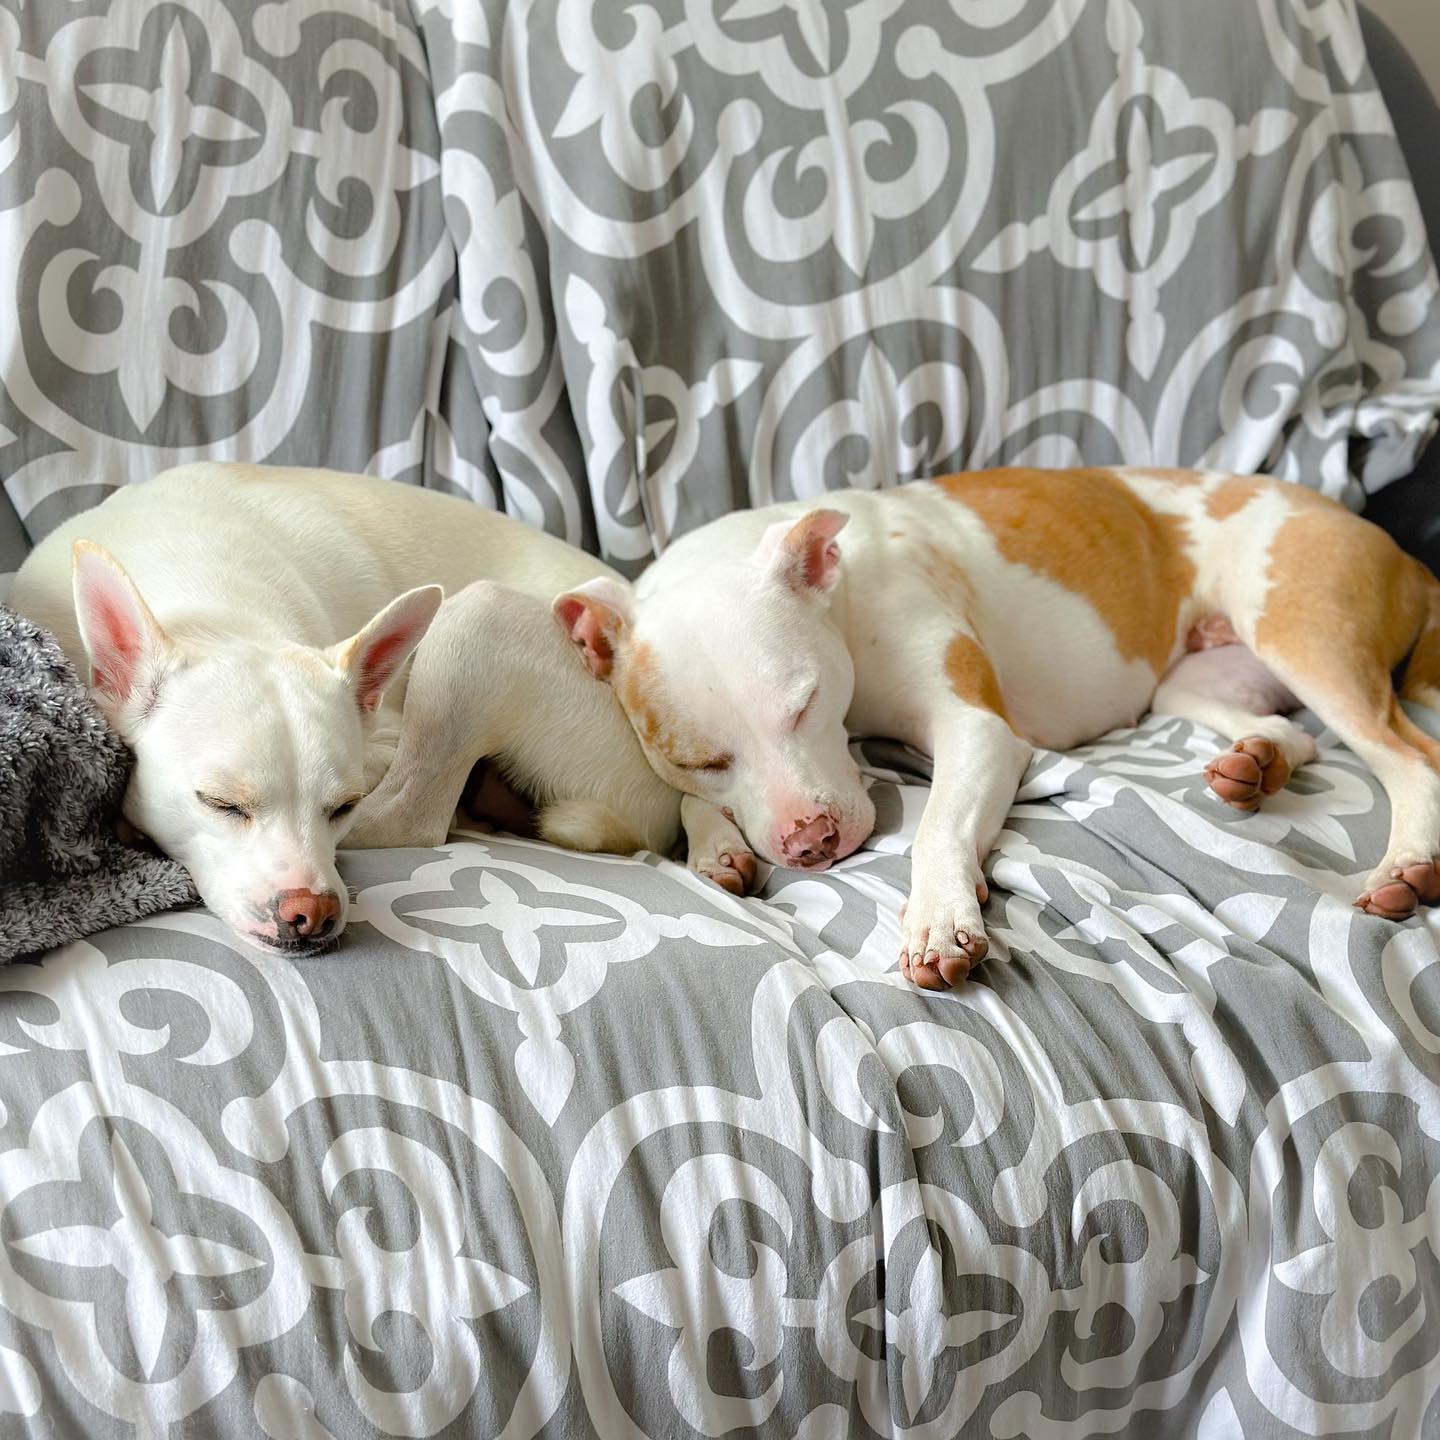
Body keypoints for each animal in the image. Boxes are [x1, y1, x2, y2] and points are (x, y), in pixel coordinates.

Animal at [11, 463, 748, 956]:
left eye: (341, 808)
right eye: (220, 804)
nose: (310, 911)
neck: (216, 610)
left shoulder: (386, 741)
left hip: (473, 617)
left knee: (417, 815)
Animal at [552, 472, 1440, 990]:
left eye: (804, 704)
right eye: (703, 759)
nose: (810, 843)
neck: (842, 598)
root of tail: (1390, 543)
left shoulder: (974, 728)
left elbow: (936, 826)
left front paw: (939, 919)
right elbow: (685, 805)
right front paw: (712, 845)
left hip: (1305, 636)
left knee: (1410, 758)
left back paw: (1405, 865)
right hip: (1193, 683)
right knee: (1293, 733)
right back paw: (1255, 763)